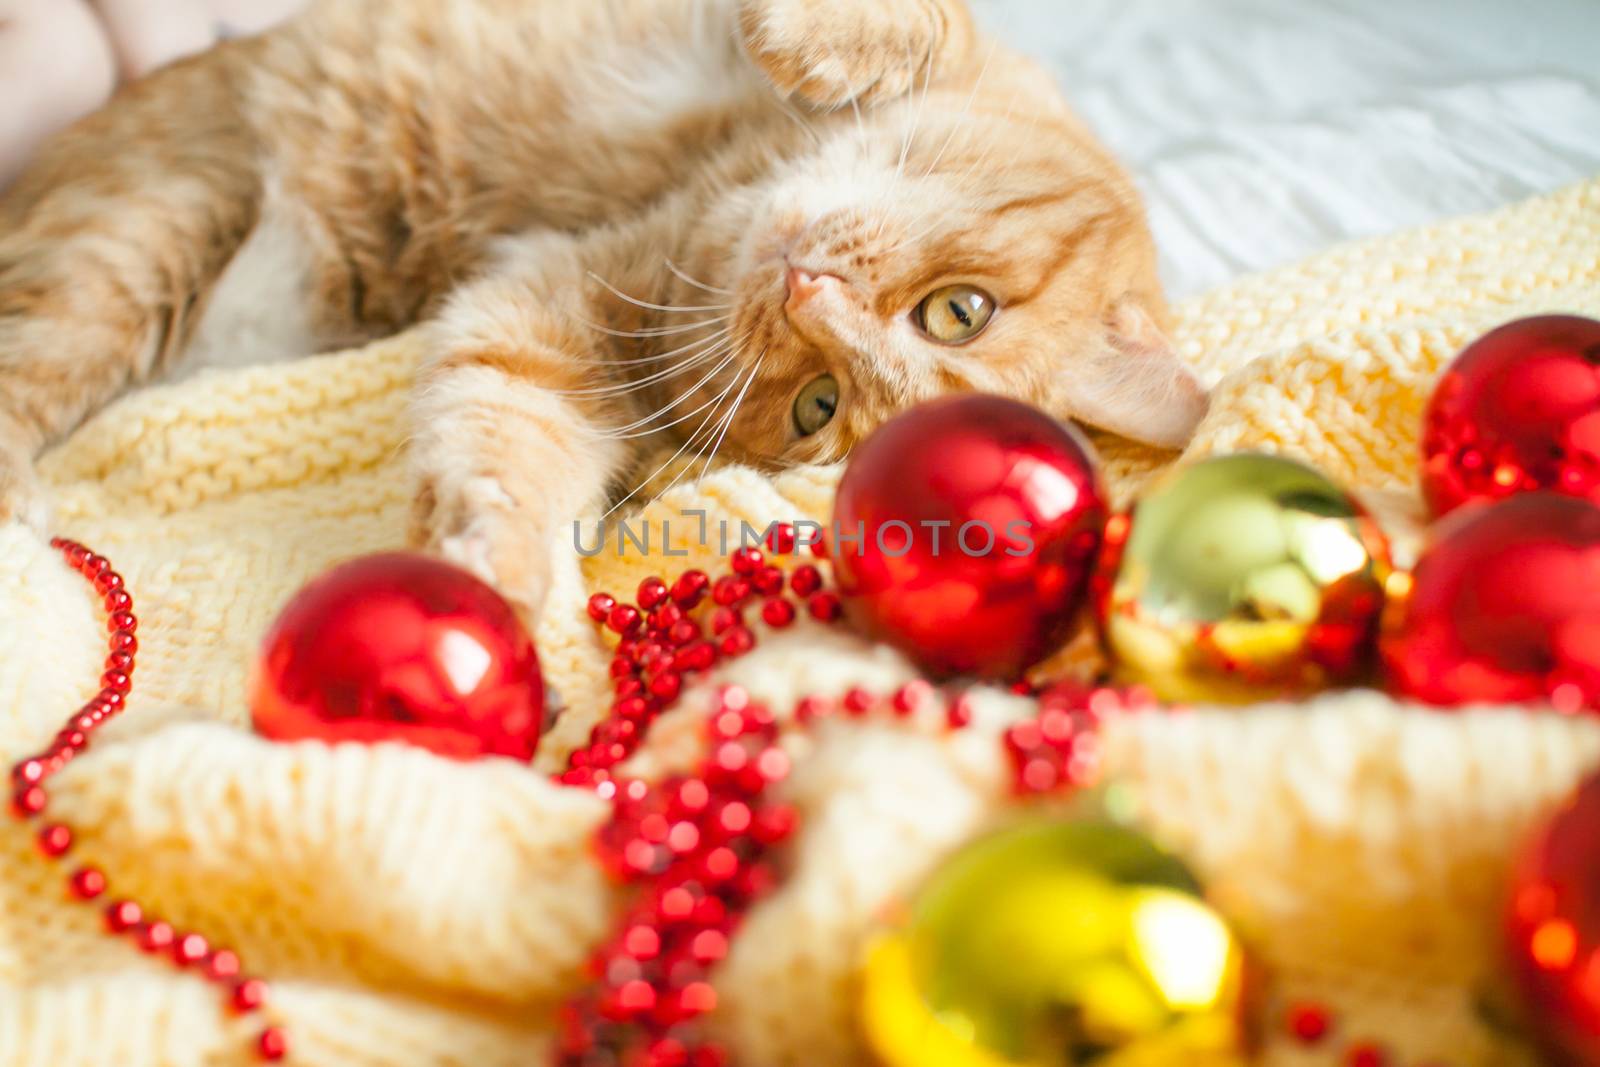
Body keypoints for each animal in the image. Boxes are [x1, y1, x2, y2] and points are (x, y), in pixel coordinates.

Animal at [0, 0, 1203, 617]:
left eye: (816, 407)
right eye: (958, 312)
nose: (805, 291)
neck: (736, 172)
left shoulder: (557, 308)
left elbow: (507, 432)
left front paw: (497, 562)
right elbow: (917, 23)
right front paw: (811, 38)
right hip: (138, 240)